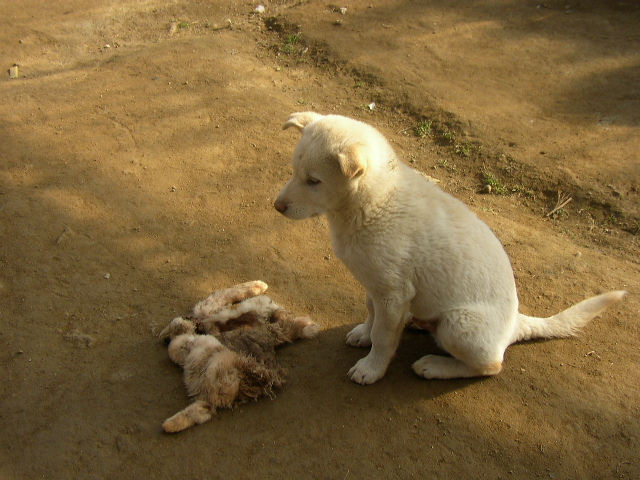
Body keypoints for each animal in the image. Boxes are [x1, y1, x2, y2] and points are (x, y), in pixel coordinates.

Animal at [274, 112, 626, 385]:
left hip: (459, 325)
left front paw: (372, 369)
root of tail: (515, 323)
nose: (276, 207)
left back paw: (435, 366)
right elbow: (372, 313)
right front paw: (363, 333)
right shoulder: (377, 285)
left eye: (314, 181)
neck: (373, 202)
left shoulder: (392, 291)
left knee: (491, 366)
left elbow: (384, 336)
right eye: (293, 171)